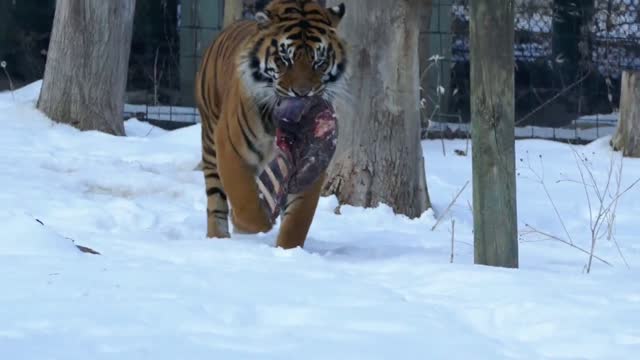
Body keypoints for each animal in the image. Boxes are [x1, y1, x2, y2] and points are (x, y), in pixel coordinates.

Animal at [194, 0, 348, 249]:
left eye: (319, 62)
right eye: (285, 59)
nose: (303, 94)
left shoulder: (311, 163)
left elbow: (298, 219)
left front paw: (288, 251)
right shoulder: (230, 146)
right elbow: (243, 197)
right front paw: (251, 223)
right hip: (209, 140)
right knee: (216, 197)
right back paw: (219, 237)